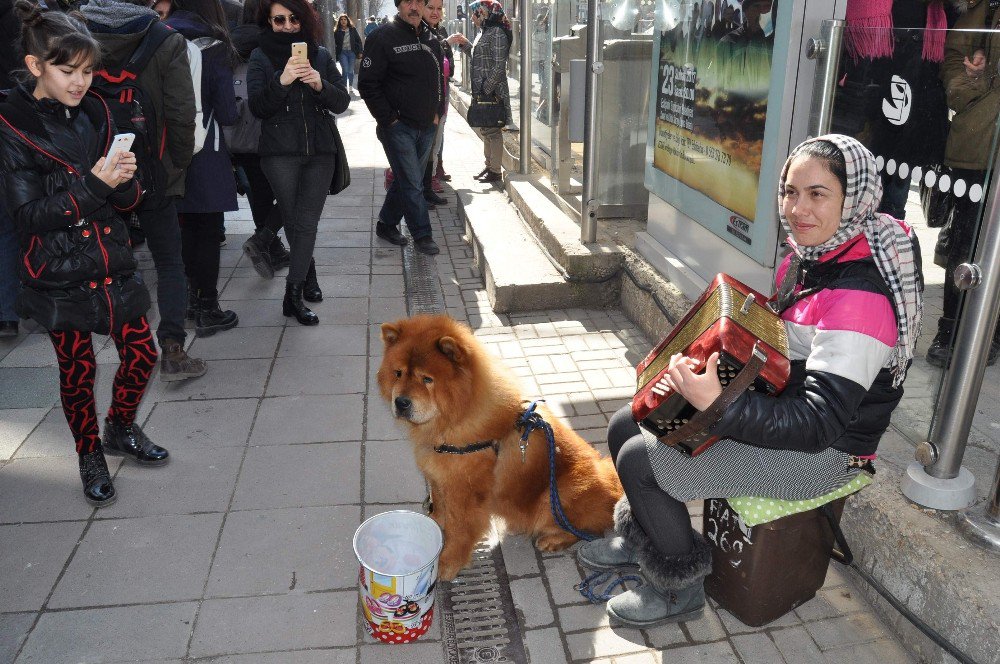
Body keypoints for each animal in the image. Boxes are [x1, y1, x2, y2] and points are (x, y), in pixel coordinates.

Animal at [376, 314, 624, 580]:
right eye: (398, 373)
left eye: (427, 379)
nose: (401, 402)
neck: (451, 420)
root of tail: (614, 485)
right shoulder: (439, 477)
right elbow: (440, 504)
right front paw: (435, 521)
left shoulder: (465, 491)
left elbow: (459, 529)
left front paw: (447, 564)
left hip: (559, 493)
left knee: (589, 529)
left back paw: (552, 539)